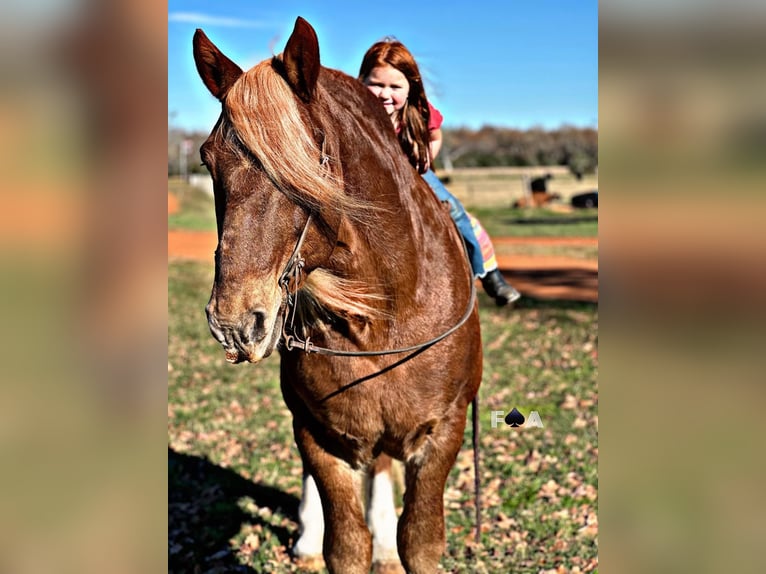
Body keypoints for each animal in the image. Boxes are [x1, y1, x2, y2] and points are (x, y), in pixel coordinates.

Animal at [195, 18, 484, 574]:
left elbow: (420, 541)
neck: (387, 317)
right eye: (207, 159)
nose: (235, 323)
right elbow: (345, 545)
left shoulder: (442, 434)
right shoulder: (320, 436)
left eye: (305, 162)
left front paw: (393, 544)